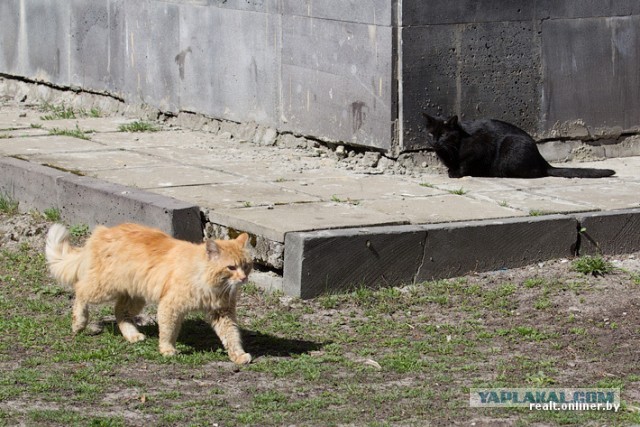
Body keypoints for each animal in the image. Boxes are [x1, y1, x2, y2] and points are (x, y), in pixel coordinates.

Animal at [45, 222, 254, 366]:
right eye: (231, 267)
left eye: (246, 266)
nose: (243, 278)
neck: (209, 282)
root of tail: (103, 232)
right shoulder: (170, 306)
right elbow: (168, 331)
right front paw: (167, 350)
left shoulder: (222, 313)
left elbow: (232, 336)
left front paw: (238, 355)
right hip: (103, 289)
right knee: (80, 291)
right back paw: (79, 324)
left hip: (134, 297)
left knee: (120, 312)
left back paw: (132, 335)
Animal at [420, 113, 616, 179]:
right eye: (430, 134)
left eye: (444, 134)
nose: (435, 141)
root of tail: (542, 161)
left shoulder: (480, 145)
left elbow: (466, 162)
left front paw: (456, 172)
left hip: (511, 148)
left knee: (534, 173)